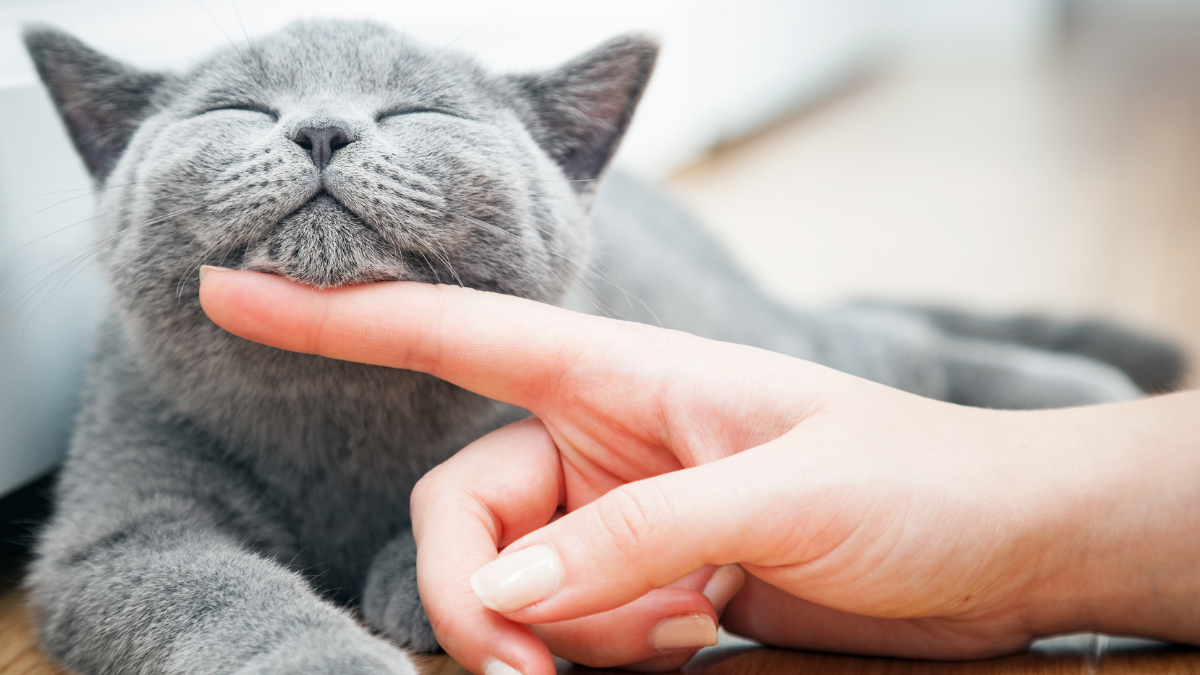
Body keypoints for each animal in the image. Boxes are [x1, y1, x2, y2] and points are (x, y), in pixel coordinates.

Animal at [23, 18, 1185, 672]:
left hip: (749, 328)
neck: (337, 407)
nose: (321, 128)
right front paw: (330, 658)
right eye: (237, 106)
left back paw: (1088, 390)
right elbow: (220, 591)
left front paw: (421, 578)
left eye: (416, 110)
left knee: (879, 343)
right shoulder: (117, 529)